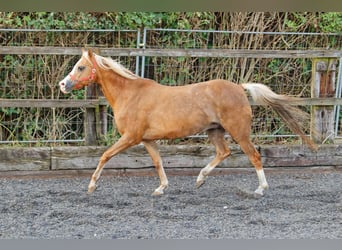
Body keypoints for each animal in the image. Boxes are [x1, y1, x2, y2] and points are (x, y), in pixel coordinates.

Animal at [59, 48, 318, 196]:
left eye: (81, 67)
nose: (63, 84)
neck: (130, 94)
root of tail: (239, 87)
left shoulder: (130, 137)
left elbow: (105, 155)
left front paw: (91, 186)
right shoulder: (147, 140)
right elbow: (158, 163)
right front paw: (161, 189)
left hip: (239, 131)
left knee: (254, 156)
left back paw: (260, 189)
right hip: (215, 131)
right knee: (223, 153)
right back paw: (200, 179)